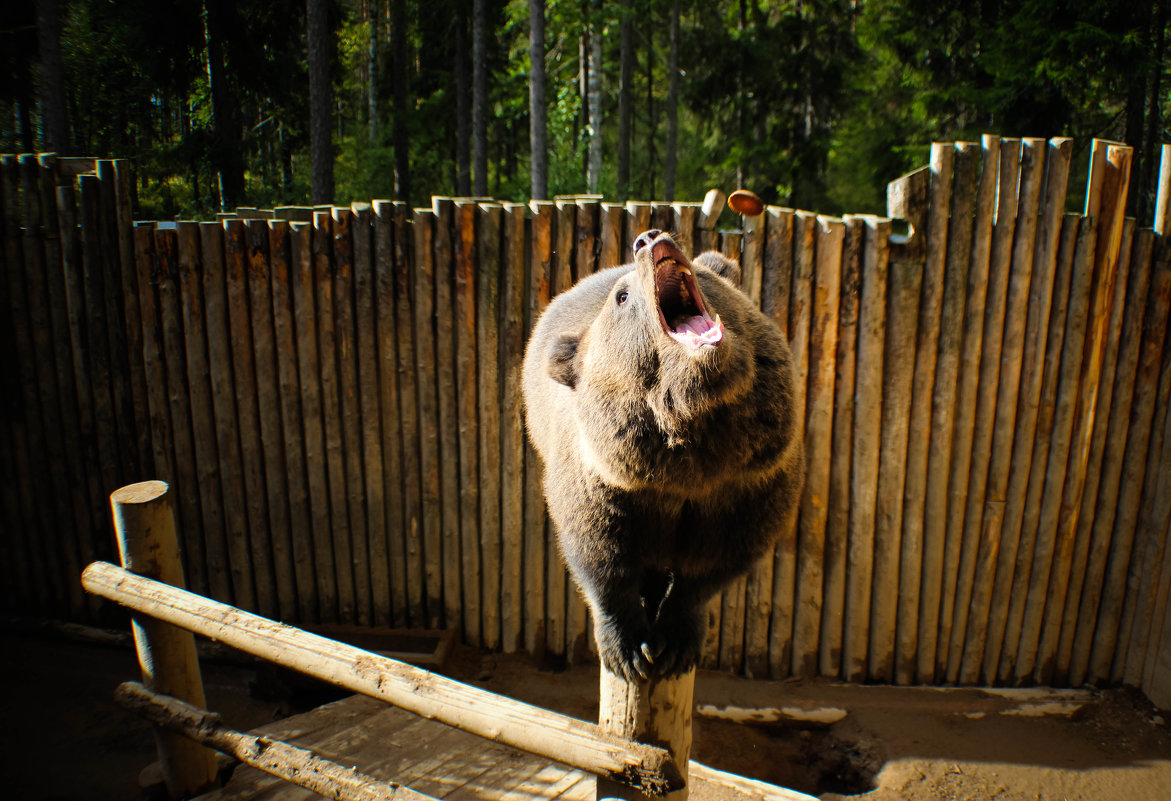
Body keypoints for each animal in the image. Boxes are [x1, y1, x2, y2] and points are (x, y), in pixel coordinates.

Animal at [524, 227, 805, 683]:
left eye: (703, 274)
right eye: (622, 297)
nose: (648, 238)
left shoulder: (746, 486)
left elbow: (710, 568)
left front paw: (676, 642)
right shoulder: (609, 490)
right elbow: (603, 563)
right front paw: (627, 650)